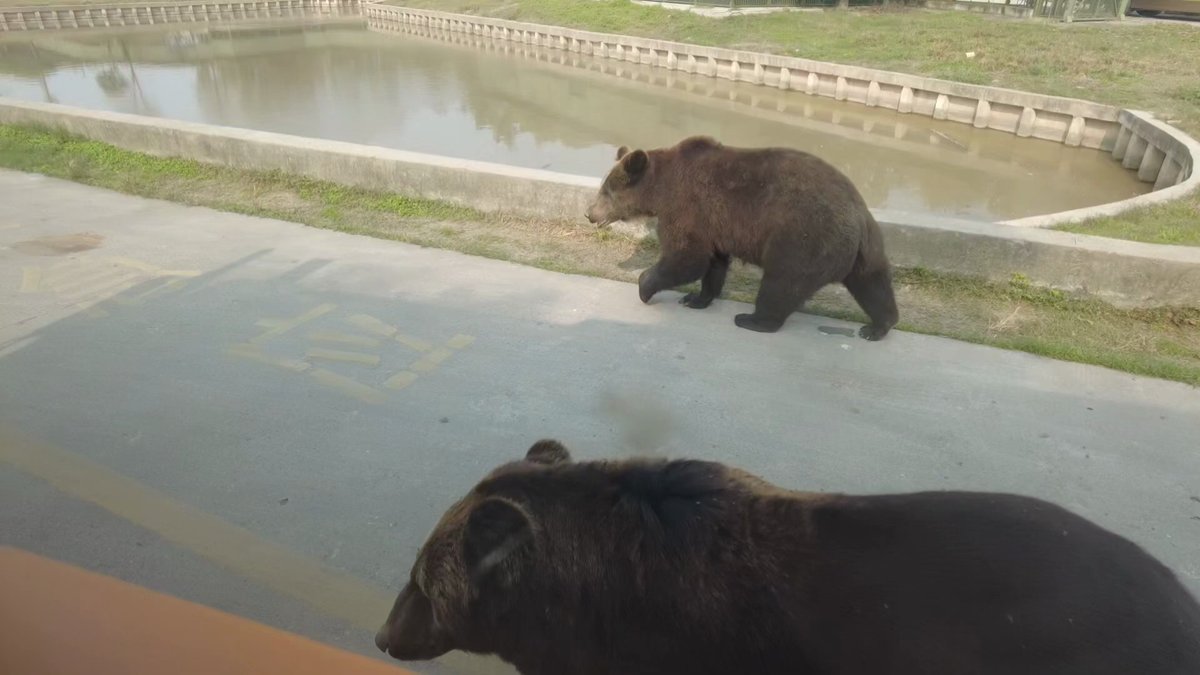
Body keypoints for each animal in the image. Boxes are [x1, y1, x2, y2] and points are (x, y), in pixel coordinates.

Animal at [585, 136, 899, 341]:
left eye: (606, 191)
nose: (589, 213)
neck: (660, 188)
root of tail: (857, 215)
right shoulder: (712, 223)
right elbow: (713, 262)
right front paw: (695, 298)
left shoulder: (688, 205)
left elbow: (687, 257)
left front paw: (645, 286)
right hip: (866, 249)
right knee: (873, 283)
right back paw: (878, 326)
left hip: (803, 237)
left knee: (781, 282)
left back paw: (753, 320)